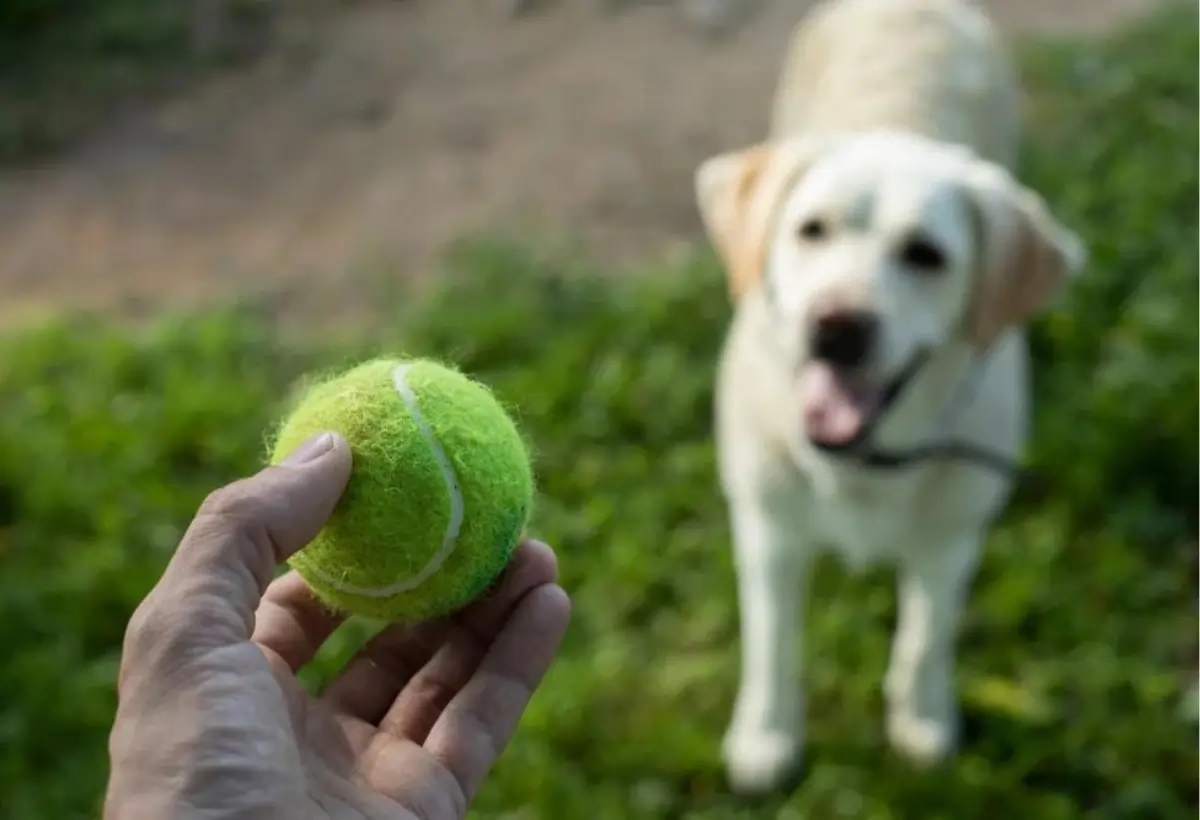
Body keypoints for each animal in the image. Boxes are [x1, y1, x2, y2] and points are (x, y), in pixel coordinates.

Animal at [696, 0, 1089, 797]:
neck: (864, 462)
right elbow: (772, 643)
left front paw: (922, 717)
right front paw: (766, 735)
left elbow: (924, 637)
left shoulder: (952, 538)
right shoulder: (769, 531)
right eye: (811, 230)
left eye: (925, 256)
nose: (836, 326)